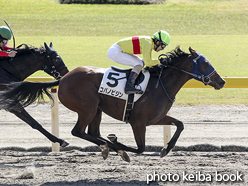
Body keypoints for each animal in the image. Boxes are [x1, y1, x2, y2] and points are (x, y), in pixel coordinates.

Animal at [0, 46, 225, 161]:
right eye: (205, 63)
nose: (221, 81)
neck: (160, 84)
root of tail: (63, 79)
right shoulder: (138, 122)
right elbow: (140, 148)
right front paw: (119, 144)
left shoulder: (156, 118)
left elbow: (180, 124)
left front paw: (165, 149)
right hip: (88, 107)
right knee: (78, 131)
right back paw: (109, 146)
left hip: (97, 109)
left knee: (91, 132)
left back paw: (107, 146)